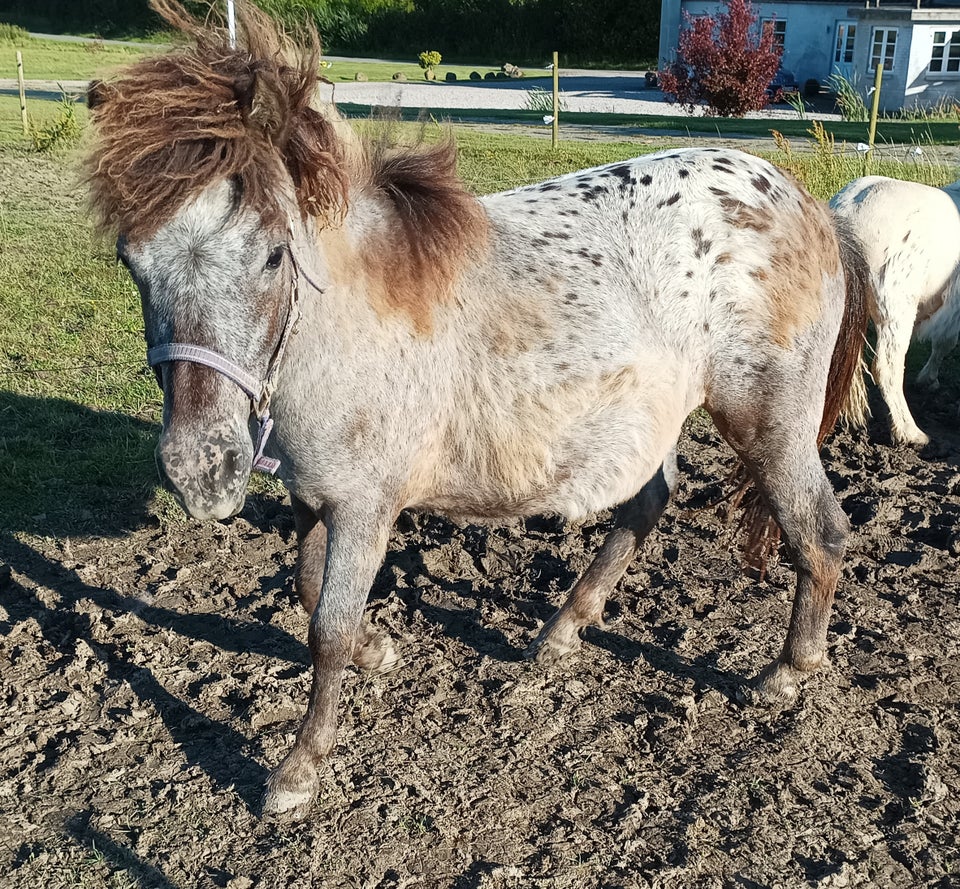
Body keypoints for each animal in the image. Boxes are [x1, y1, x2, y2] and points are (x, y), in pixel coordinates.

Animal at [88, 0, 872, 820]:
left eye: (273, 253)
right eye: (130, 261)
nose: (200, 469)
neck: (343, 318)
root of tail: (806, 204)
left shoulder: (365, 505)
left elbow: (326, 628)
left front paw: (300, 767)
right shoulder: (311, 491)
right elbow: (306, 591)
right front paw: (378, 650)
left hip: (768, 422)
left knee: (820, 532)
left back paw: (787, 671)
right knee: (647, 503)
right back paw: (561, 631)